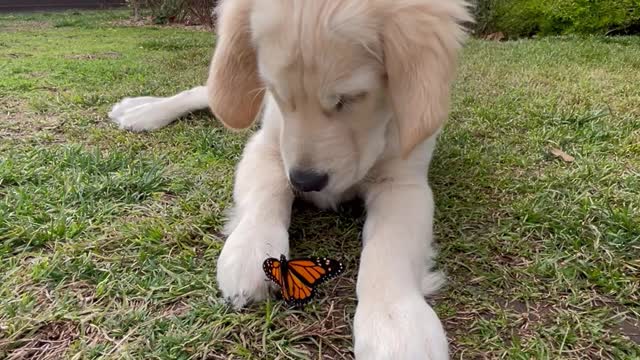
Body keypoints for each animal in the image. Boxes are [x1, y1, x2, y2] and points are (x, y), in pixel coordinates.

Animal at [109, 0, 470, 358]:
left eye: (350, 98)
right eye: (277, 93)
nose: (305, 182)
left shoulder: (404, 181)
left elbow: (390, 244)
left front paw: (395, 323)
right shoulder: (266, 146)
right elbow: (267, 192)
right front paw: (250, 248)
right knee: (208, 92)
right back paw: (142, 111)